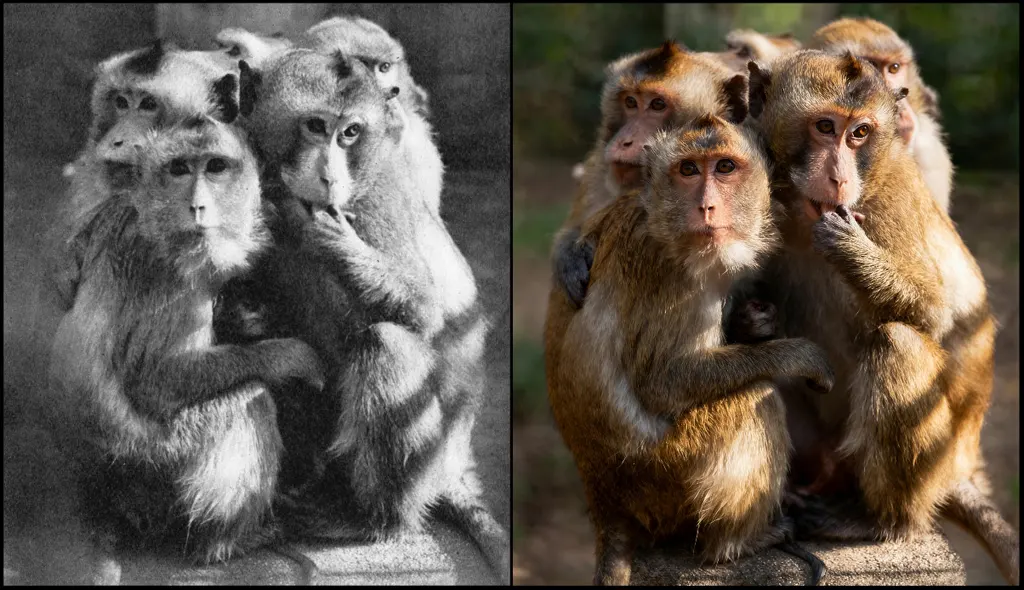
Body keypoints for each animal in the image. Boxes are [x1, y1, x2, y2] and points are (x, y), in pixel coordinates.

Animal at [45, 115, 327, 569]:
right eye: (179, 169)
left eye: (215, 167)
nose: (197, 206)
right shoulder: (181, 271)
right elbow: (155, 377)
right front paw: (290, 357)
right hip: (158, 466)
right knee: (252, 402)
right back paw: (222, 542)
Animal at [228, 49, 510, 583]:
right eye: (316, 126)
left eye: (351, 133)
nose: (330, 177)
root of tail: (454, 462)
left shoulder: (382, 198)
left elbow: (423, 313)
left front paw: (327, 238)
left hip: (429, 459)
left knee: (386, 343)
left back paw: (376, 519)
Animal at [547, 117, 835, 586]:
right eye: (687, 171)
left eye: (724, 167)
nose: (707, 207)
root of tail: (602, 499)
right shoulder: (672, 273)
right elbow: (661, 380)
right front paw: (799, 355)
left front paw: (754, 322)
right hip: (665, 479)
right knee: (757, 399)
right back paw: (734, 544)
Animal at [744, 49, 1018, 585]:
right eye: (824, 126)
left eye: (860, 134)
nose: (839, 177)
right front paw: (754, 319)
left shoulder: (893, 191)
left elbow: (933, 314)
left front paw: (850, 248)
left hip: (934, 461)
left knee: (899, 343)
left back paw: (884, 522)